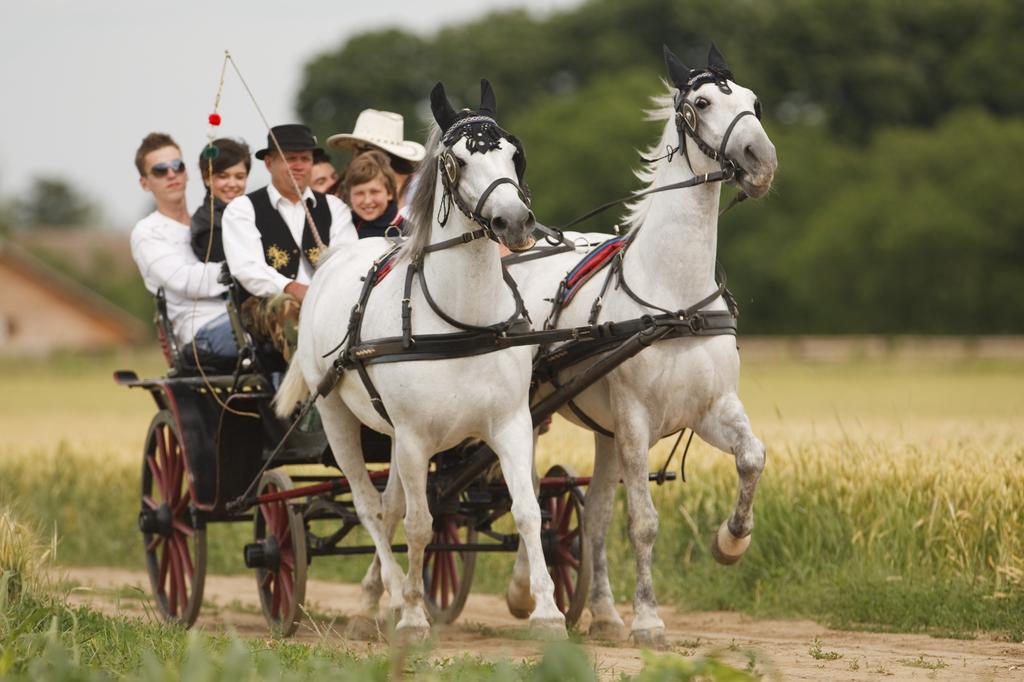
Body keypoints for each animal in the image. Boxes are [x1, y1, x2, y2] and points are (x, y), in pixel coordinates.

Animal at [276, 82, 569, 638]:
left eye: (513, 153)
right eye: (456, 161)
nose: (515, 221)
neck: (461, 325)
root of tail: (332, 262)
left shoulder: (511, 424)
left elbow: (528, 511)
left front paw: (546, 610)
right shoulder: (414, 438)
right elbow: (419, 524)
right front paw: (413, 615)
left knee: (388, 505)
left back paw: (374, 597)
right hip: (338, 417)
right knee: (370, 507)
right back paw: (390, 595)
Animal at [503, 43, 774, 647]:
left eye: (754, 100)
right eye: (702, 102)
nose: (762, 159)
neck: (675, 299)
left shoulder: (712, 408)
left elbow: (752, 457)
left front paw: (732, 539)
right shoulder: (634, 420)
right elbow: (644, 522)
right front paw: (649, 620)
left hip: (599, 434)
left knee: (594, 516)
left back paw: (601, 613)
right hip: (531, 413)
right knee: (521, 489)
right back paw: (524, 591)